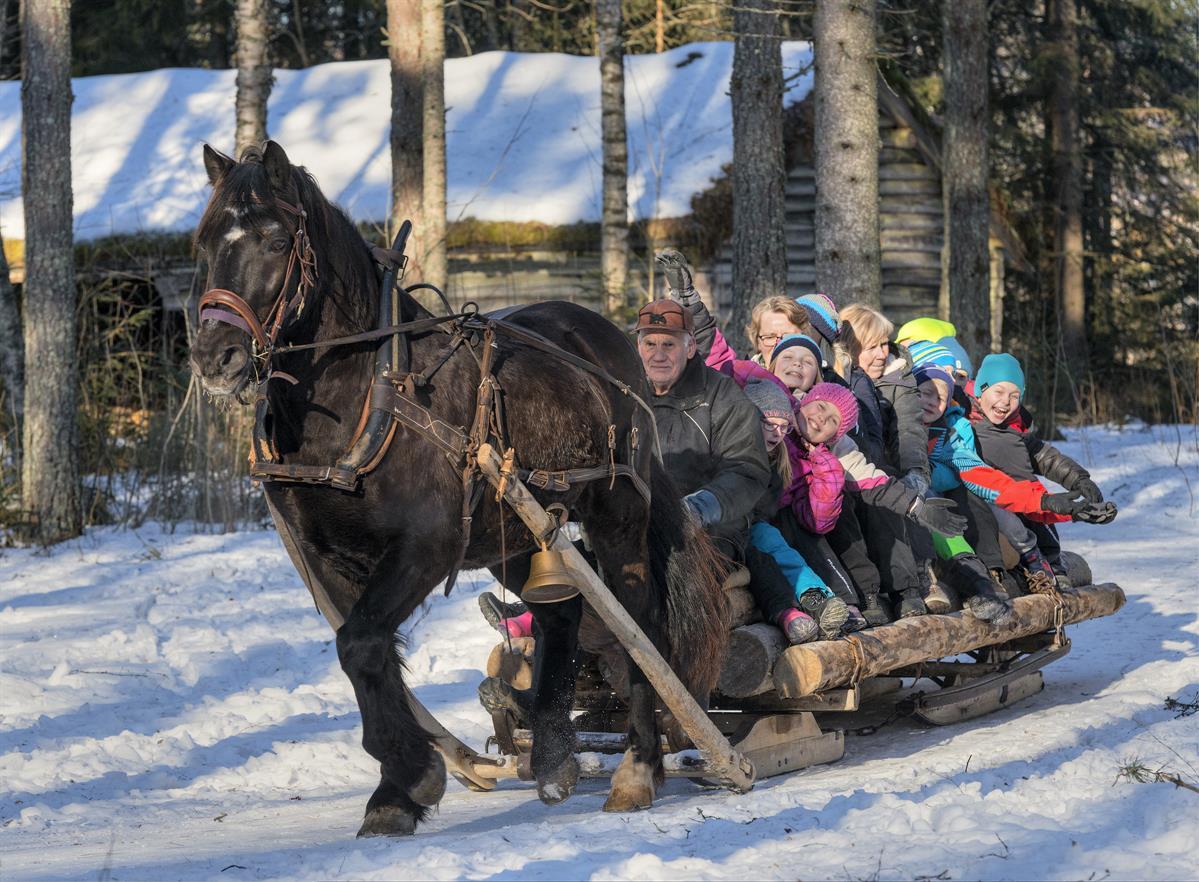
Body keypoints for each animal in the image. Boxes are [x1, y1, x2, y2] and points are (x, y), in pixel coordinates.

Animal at [187, 141, 729, 837]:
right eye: (205, 242)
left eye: (277, 240)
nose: (215, 356)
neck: (364, 399)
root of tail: (610, 340)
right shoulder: (329, 560)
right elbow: (365, 651)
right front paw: (399, 788)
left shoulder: (427, 546)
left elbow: (361, 644)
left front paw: (411, 776)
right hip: (516, 531)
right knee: (560, 612)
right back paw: (552, 756)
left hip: (617, 512)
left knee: (637, 622)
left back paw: (638, 767)